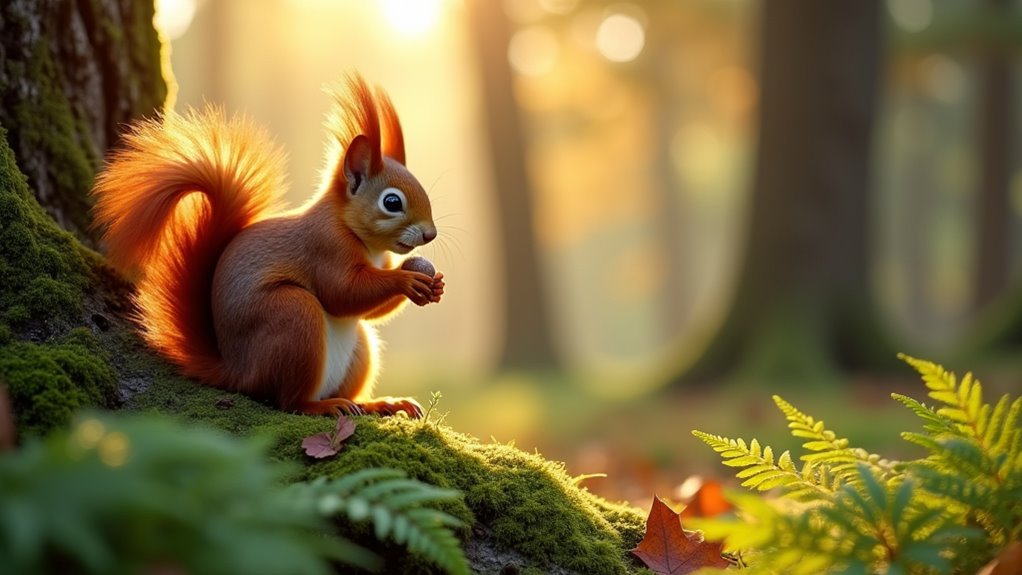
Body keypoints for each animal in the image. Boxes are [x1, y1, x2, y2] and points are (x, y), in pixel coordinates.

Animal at [91, 74, 443, 418]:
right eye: (392, 202)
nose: (431, 234)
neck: (363, 240)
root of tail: (236, 372)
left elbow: (370, 311)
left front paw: (432, 284)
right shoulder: (325, 246)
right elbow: (342, 293)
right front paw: (407, 279)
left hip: (359, 349)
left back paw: (379, 403)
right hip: (292, 316)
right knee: (288, 401)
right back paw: (322, 406)